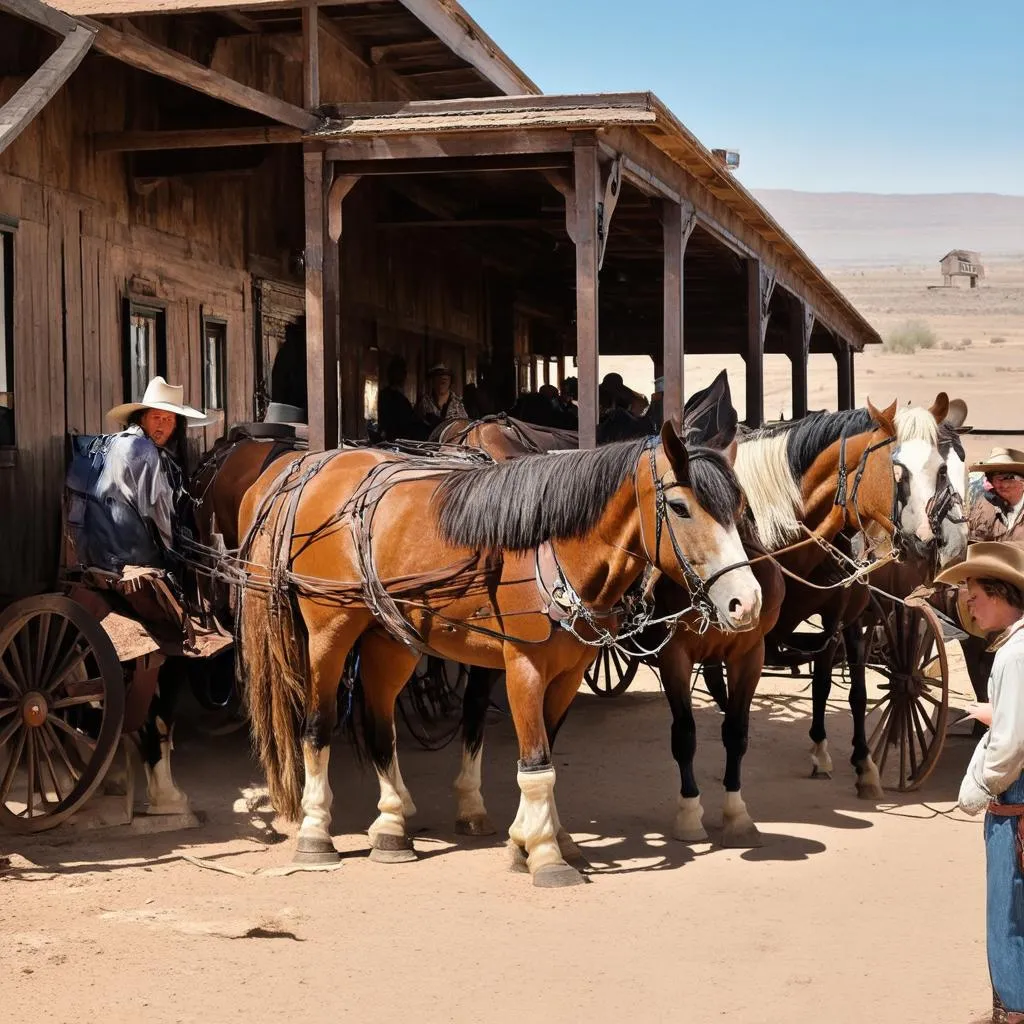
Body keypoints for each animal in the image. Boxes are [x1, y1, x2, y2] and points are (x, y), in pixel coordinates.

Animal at [234, 423, 761, 888]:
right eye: (680, 507)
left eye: (739, 508)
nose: (747, 602)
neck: (554, 552)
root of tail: (315, 468)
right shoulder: (523, 667)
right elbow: (536, 765)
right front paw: (545, 855)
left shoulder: (569, 673)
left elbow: (543, 754)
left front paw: (538, 839)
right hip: (330, 630)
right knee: (318, 726)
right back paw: (316, 833)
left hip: (391, 638)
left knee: (382, 727)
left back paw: (391, 827)